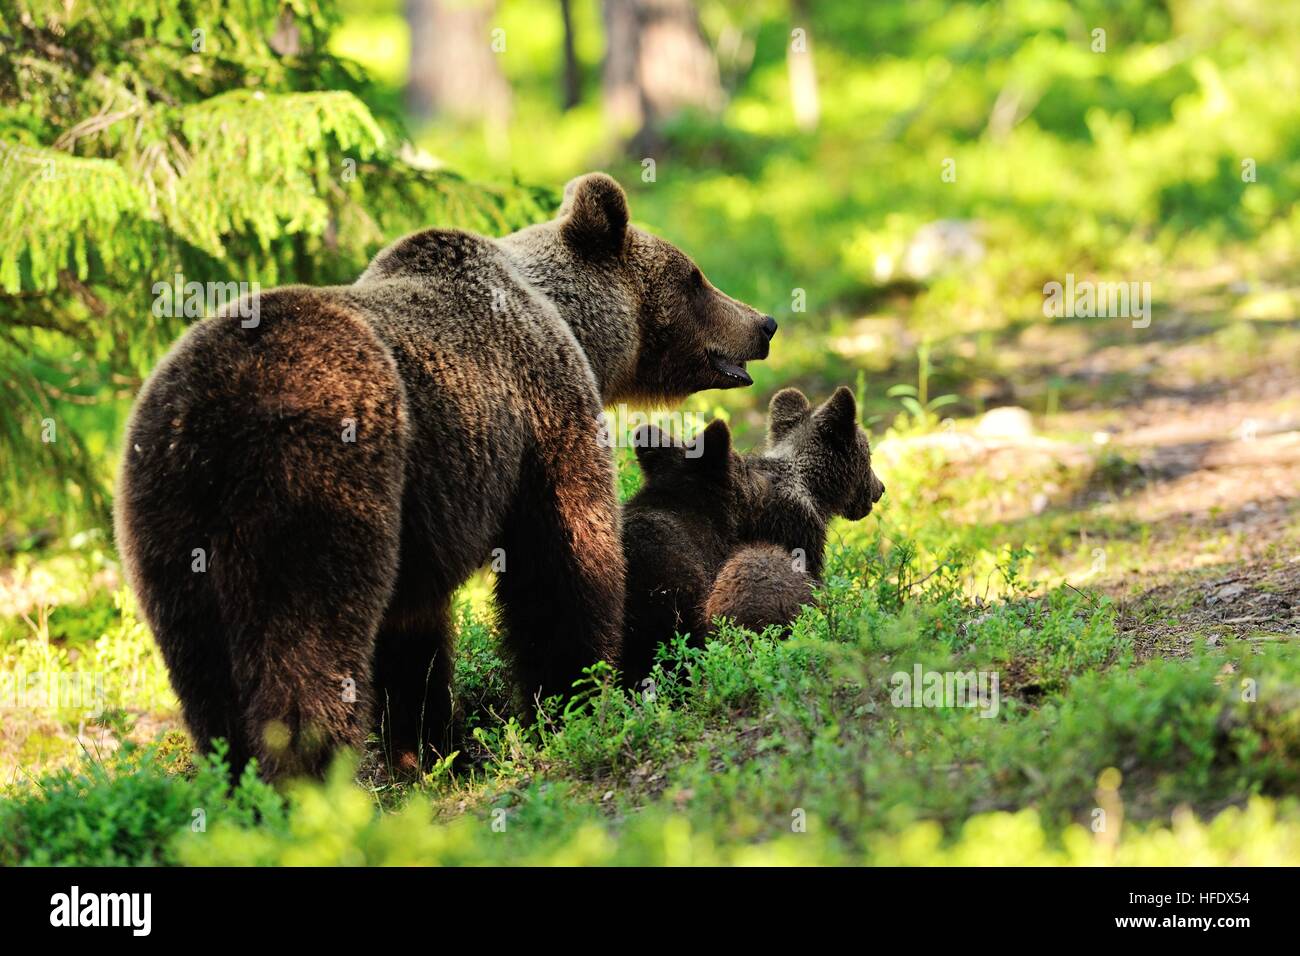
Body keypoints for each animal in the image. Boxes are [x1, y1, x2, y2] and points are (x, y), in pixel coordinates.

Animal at [114, 172, 777, 780]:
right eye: (694, 277)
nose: (764, 322)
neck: (573, 325)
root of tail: (217, 414)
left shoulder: (425, 514)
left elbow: (415, 634)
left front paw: (430, 749)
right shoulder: (542, 412)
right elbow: (562, 567)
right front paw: (573, 700)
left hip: (167, 519)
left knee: (203, 669)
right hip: (316, 487)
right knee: (306, 647)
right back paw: (312, 781)